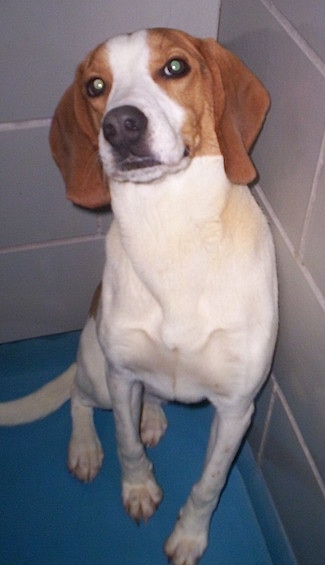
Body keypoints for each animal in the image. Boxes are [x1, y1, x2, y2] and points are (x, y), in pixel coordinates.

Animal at [1, 29, 278, 564]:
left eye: (175, 67)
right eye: (95, 85)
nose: (120, 126)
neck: (170, 231)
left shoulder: (237, 408)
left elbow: (209, 484)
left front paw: (190, 536)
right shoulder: (122, 375)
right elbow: (127, 446)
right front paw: (139, 489)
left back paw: (153, 414)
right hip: (96, 372)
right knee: (78, 399)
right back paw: (86, 447)